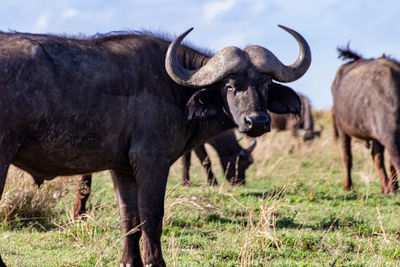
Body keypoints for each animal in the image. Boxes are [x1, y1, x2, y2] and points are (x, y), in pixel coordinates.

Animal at [0, 25, 310, 267]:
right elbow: (152, 215)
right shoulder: (152, 162)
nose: (257, 121)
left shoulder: (122, 169)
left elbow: (129, 217)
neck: (177, 90)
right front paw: (155, 261)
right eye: (230, 86)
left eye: (266, 84)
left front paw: (130, 261)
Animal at [332, 47, 400, 195]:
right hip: (342, 127)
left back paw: (386, 186)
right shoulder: (388, 136)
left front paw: (392, 186)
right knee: (347, 156)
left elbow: (389, 162)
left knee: (377, 157)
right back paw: (348, 185)